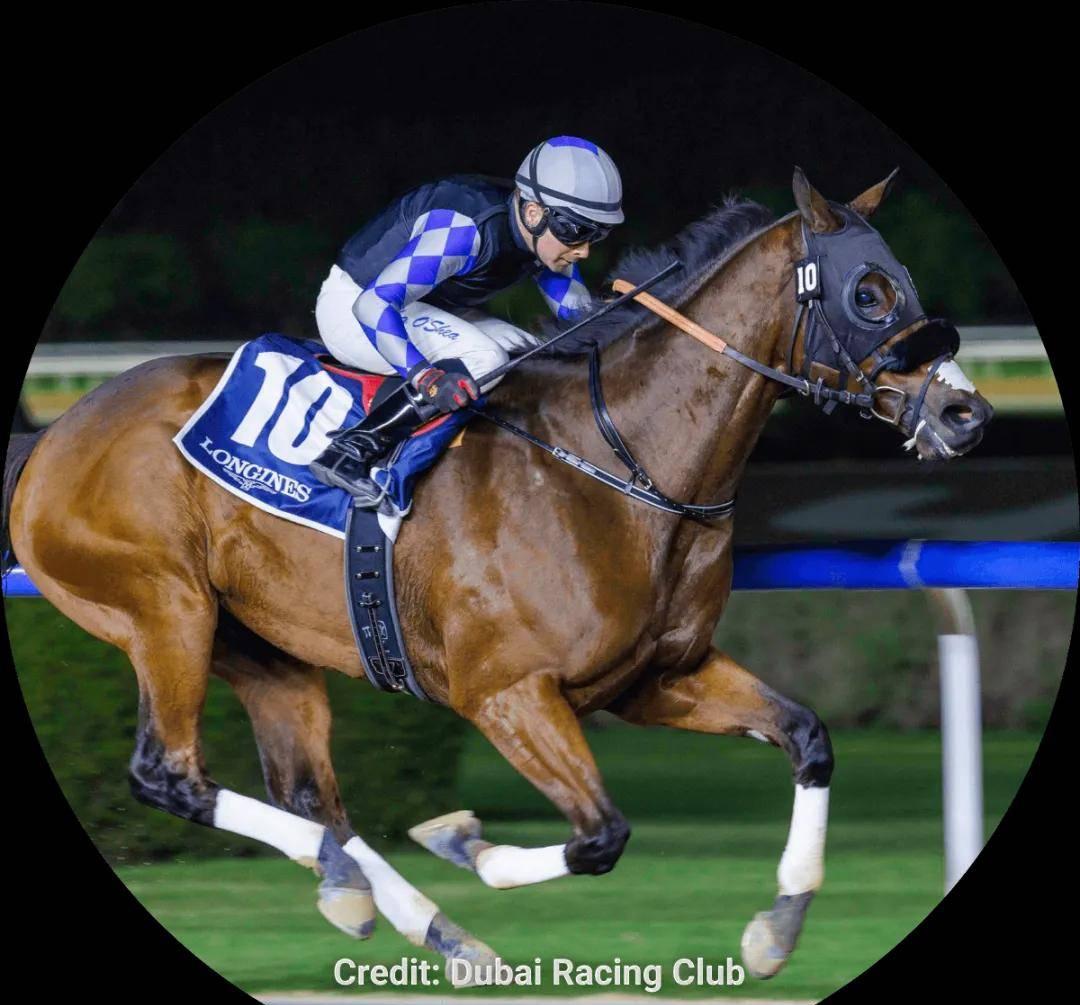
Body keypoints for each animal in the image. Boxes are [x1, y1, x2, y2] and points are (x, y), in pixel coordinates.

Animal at [4, 169, 993, 981]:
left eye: (903, 280)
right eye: (869, 291)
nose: (966, 413)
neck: (619, 463)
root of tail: (55, 435)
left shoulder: (654, 677)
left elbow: (806, 736)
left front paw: (777, 927)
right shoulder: (507, 693)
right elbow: (599, 836)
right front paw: (464, 841)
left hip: (260, 643)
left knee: (313, 797)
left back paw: (408, 916)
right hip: (166, 609)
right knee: (169, 776)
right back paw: (366, 891)